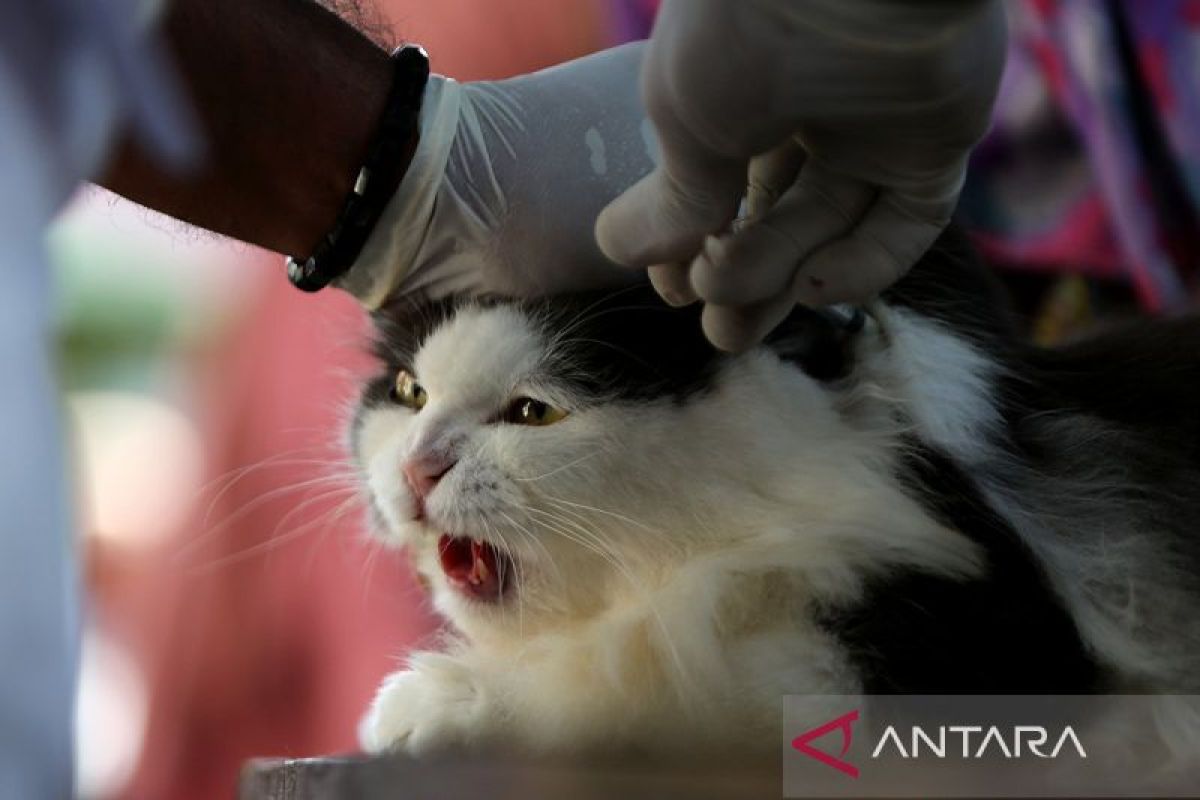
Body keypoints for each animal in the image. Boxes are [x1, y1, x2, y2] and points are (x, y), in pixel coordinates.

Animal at [348, 225, 1200, 758]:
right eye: (411, 394)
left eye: (533, 412)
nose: (418, 468)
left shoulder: (1000, 643)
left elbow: (659, 682)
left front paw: (431, 705)